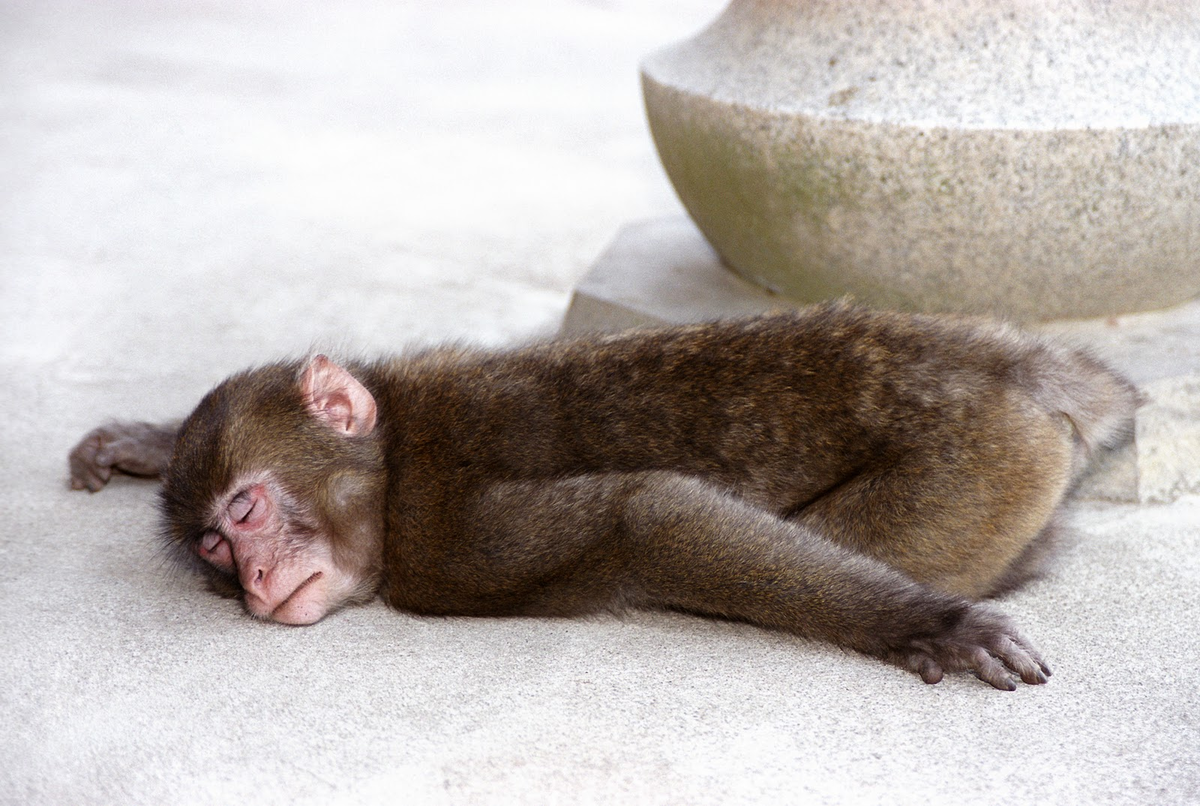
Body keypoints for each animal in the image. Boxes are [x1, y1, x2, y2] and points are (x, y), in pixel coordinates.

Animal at [70, 305, 1137, 690]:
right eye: (213, 550)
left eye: (246, 515)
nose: (252, 580)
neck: (396, 456)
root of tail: (1018, 366)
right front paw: (142, 441)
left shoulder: (447, 545)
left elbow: (649, 517)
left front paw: (929, 624)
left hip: (981, 465)